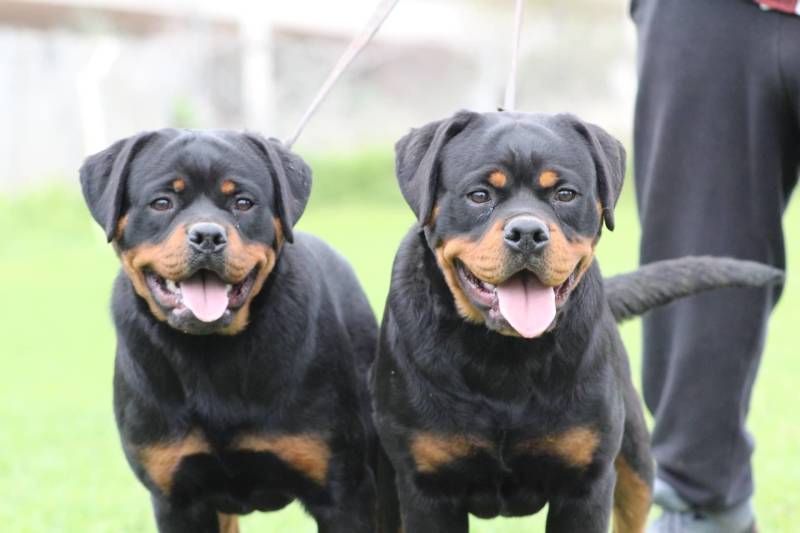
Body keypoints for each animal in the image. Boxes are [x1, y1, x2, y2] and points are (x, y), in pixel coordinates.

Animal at [80, 129, 378, 533]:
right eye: (162, 202)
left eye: (243, 202)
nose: (208, 235)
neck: (211, 354)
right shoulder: (177, 499)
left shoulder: (343, 492)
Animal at [370, 110, 783, 533]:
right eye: (479, 195)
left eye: (565, 194)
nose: (527, 232)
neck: (503, 356)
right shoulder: (427, 487)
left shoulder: (586, 483)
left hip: (635, 463)